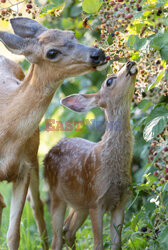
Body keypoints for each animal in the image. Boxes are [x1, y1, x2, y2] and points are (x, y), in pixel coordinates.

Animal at [0, 18, 107, 250]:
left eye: (71, 34)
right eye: (51, 52)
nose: (98, 53)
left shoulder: (24, 167)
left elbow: (13, 235)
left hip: (34, 155)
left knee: (38, 206)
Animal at [44, 61, 138, 250]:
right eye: (109, 81)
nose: (130, 63)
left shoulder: (121, 202)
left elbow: (117, 244)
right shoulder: (96, 200)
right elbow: (98, 244)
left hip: (80, 204)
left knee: (68, 230)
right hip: (57, 195)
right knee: (57, 237)